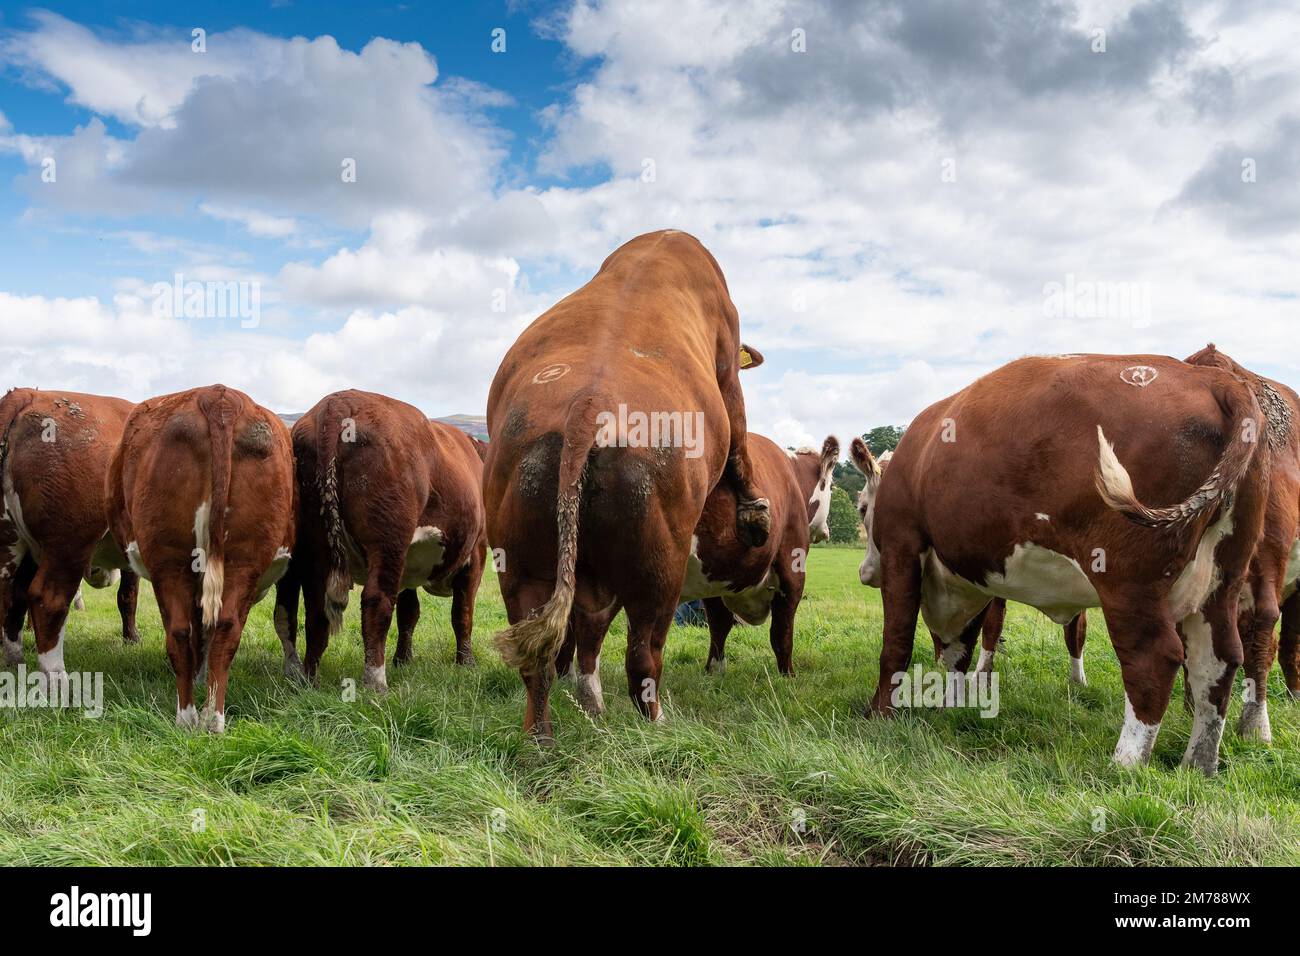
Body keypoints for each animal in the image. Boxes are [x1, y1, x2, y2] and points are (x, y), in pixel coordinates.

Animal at [0, 387, 141, 671]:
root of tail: (27, 394)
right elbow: (128, 596)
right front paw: (132, 639)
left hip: (18, 543)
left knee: (13, 596)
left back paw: (13, 660)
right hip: (68, 544)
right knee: (46, 599)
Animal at [106, 385, 295, 728]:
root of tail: (219, 397)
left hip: (168, 558)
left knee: (179, 633)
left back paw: (187, 716)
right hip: (244, 559)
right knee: (226, 629)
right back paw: (213, 718)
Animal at [276, 390, 488, 686]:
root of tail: (337, 402)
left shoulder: (411, 565)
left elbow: (409, 613)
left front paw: (403, 659)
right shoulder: (476, 554)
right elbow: (463, 613)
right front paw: (466, 663)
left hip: (315, 543)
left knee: (313, 608)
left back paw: (308, 678)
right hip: (388, 541)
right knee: (376, 601)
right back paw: (376, 681)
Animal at [488, 227, 769, 738]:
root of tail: (586, 407)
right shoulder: (727, 356)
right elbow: (738, 430)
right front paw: (755, 510)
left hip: (521, 563)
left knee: (544, 658)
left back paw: (545, 735)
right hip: (659, 571)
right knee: (642, 657)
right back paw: (657, 725)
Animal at [852, 356, 1268, 775]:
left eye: (861, 507)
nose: (865, 572)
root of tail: (1212, 379)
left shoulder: (903, 546)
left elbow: (897, 641)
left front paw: (880, 714)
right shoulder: (968, 578)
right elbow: (959, 651)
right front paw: (950, 708)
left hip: (1129, 580)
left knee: (1155, 656)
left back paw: (1124, 763)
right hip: (1221, 581)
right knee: (1218, 660)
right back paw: (1198, 764)